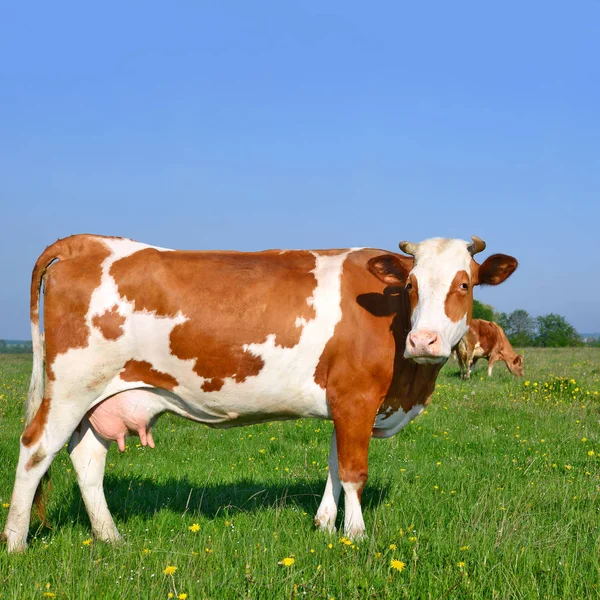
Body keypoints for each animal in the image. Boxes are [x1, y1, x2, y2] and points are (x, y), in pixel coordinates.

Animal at [0, 232, 516, 552]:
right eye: (410, 283)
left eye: (465, 283)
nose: (423, 341)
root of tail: (85, 241)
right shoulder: (356, 399)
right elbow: (353, 472)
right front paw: (356, 534)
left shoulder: (341, 403)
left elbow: (333, 464)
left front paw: (323, 525)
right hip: (71, 386)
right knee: (35, 450)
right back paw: (16, 542)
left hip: (100, 396)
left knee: (86, 459)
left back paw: (111, 539)